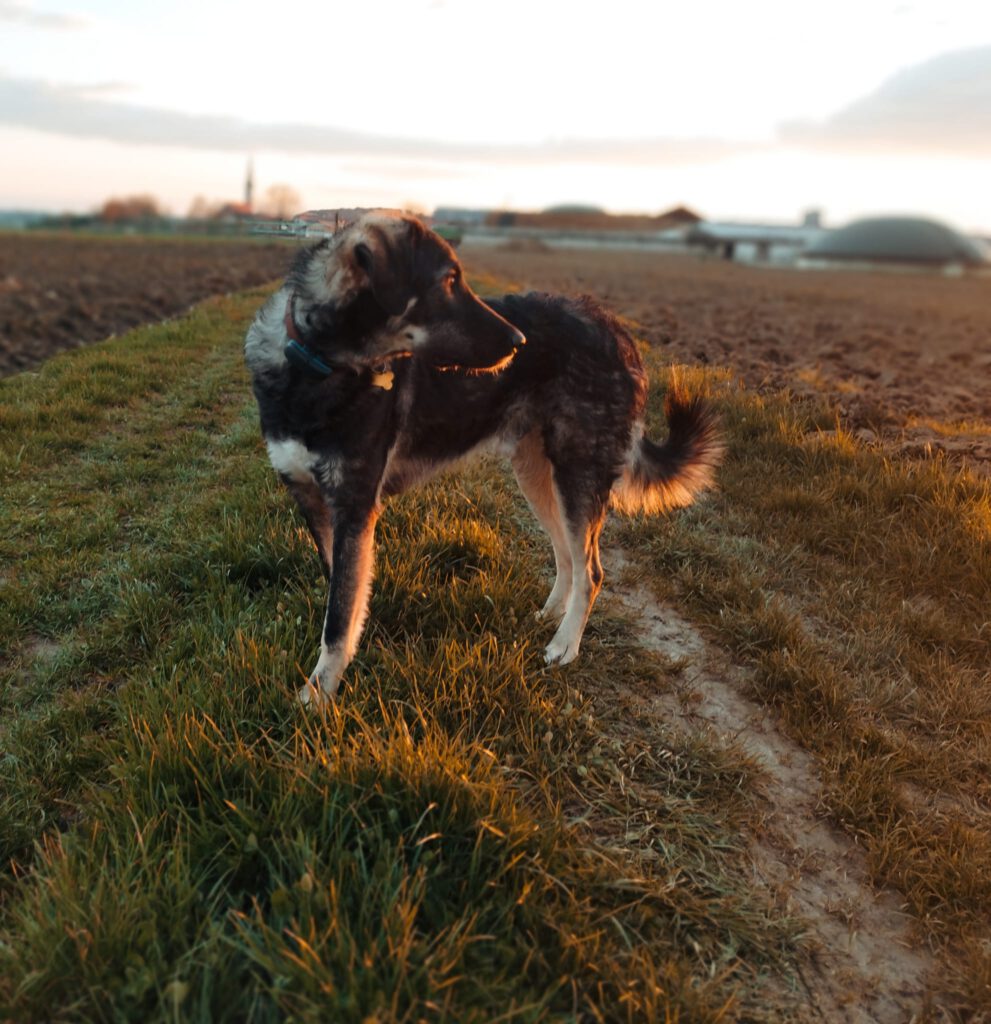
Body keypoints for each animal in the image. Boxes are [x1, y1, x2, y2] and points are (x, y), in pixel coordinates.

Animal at [245, 209, 720, 704]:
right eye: (449, 281)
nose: (519, 340)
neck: (316, 367)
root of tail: (618, 329)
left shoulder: (354, 507)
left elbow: (338, 616)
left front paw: (318, 697)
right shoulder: (315, 502)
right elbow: (341, 592)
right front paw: (342, 664)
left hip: (578, 474)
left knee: (591, 569)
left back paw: (565, 646)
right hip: (537, 475)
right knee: (567, 556)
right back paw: (550, 617)